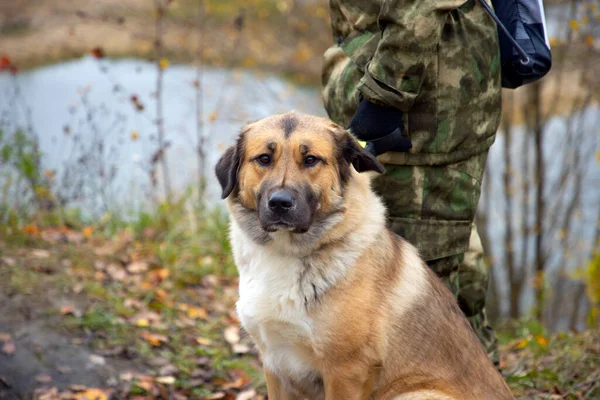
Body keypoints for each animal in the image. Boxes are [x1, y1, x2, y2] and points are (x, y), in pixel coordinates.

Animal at [214, 111, 510, 400]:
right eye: (264, 159)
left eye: (311, 160)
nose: (280, 203)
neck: (285, 252)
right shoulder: (276, 365)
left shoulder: (346, 371)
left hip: (413, 394)